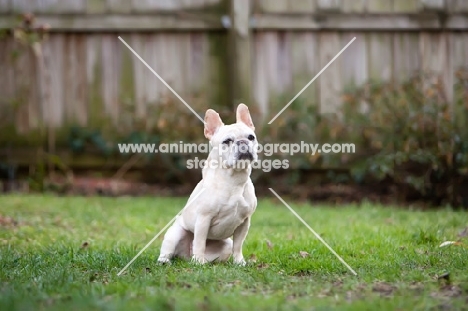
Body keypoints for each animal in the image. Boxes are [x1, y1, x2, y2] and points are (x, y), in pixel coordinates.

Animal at [159, 104, 258, 266]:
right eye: (227, 141)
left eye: (251, 137)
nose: (243, 142)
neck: (234, 179)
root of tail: (185, 256)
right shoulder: (204, 219)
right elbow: (199, 241)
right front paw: (198, 261)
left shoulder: (244, 222)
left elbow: (238, 245)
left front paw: (239, 262)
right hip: (174, 234)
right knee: (169, 250)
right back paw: (169, 260)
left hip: (226, 245)